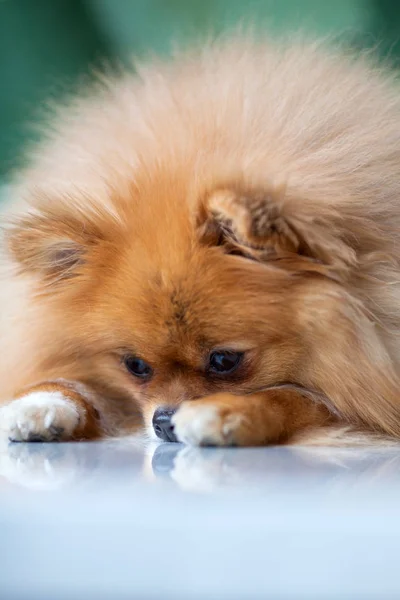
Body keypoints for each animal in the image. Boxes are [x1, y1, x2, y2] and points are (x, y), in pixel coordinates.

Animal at [0, 32, 400, 446]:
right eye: (135, 366)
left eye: (224, 361)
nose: (162, 422)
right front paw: (41, 402)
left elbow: (290, 396)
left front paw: (224, 410)